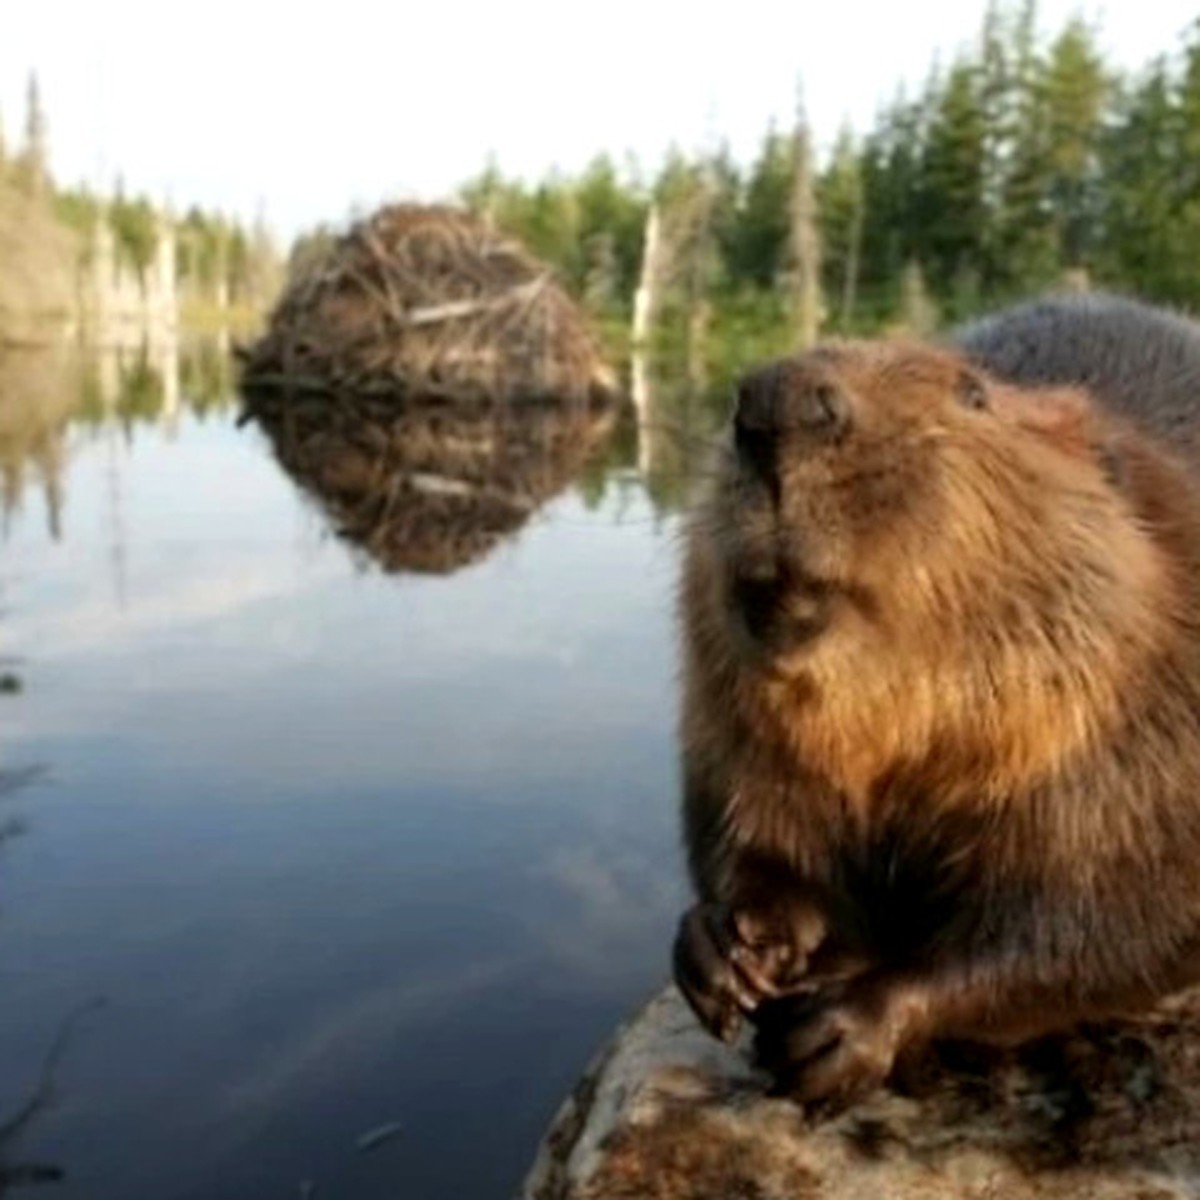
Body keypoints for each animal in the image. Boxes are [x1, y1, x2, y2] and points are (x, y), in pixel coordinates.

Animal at [676, 292, 1200, 1113]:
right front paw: (729, 947)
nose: (775, 401)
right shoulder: (734, 723)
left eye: (973, 394)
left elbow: (1108, 920)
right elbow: (751, 828)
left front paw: (843, 1030)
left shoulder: (1147, 734)